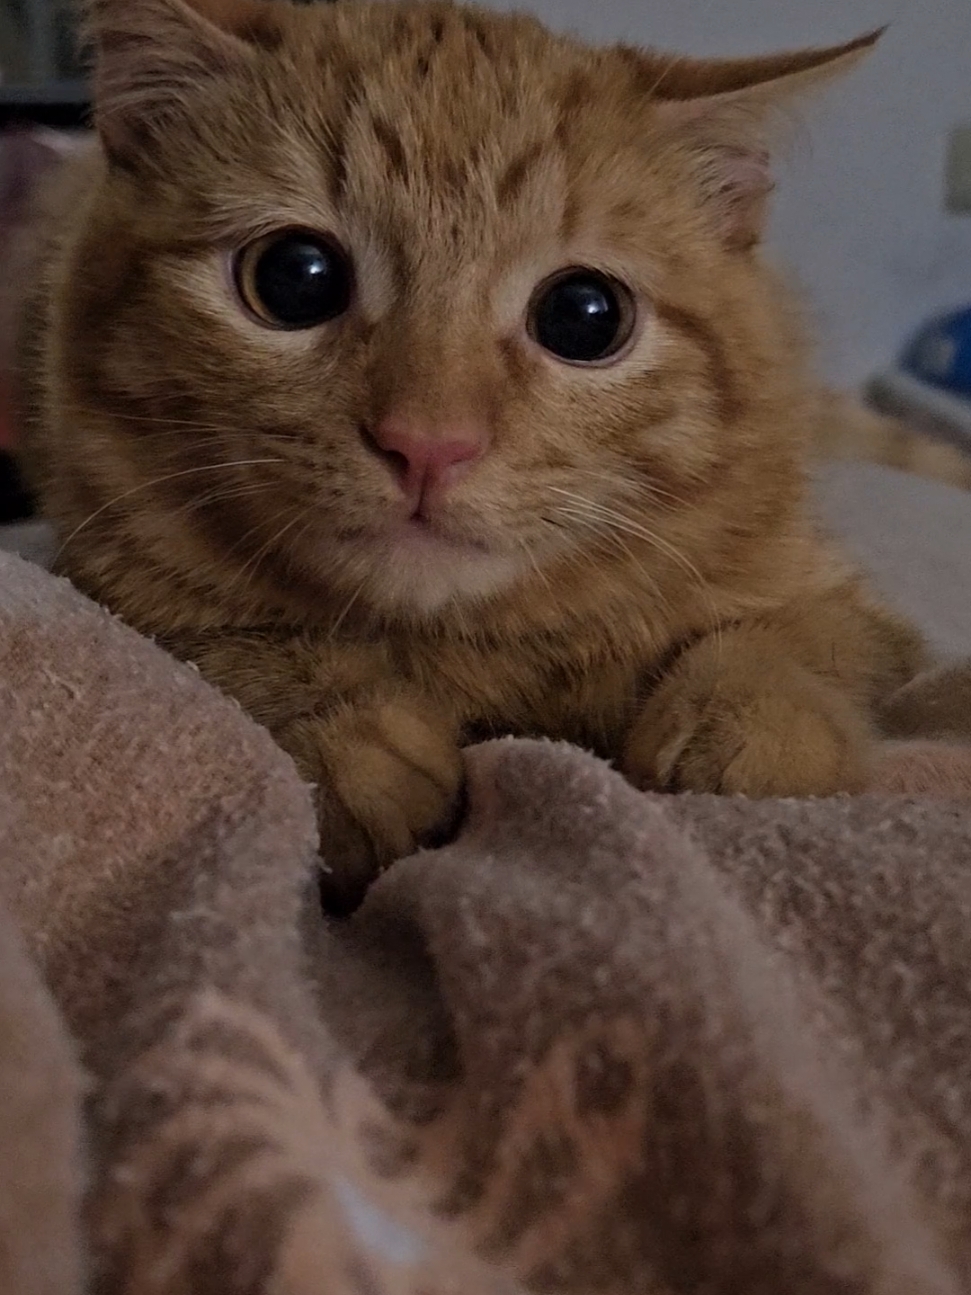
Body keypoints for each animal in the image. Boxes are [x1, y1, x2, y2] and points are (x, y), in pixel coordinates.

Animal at [15, 0, 926, 911]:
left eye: (584, 315)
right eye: (295, 278)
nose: (428, 443)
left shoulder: (841, 597)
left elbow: (809, 636)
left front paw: (756, 720)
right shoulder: (97, 565)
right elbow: (205, 636)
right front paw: (349, 734)